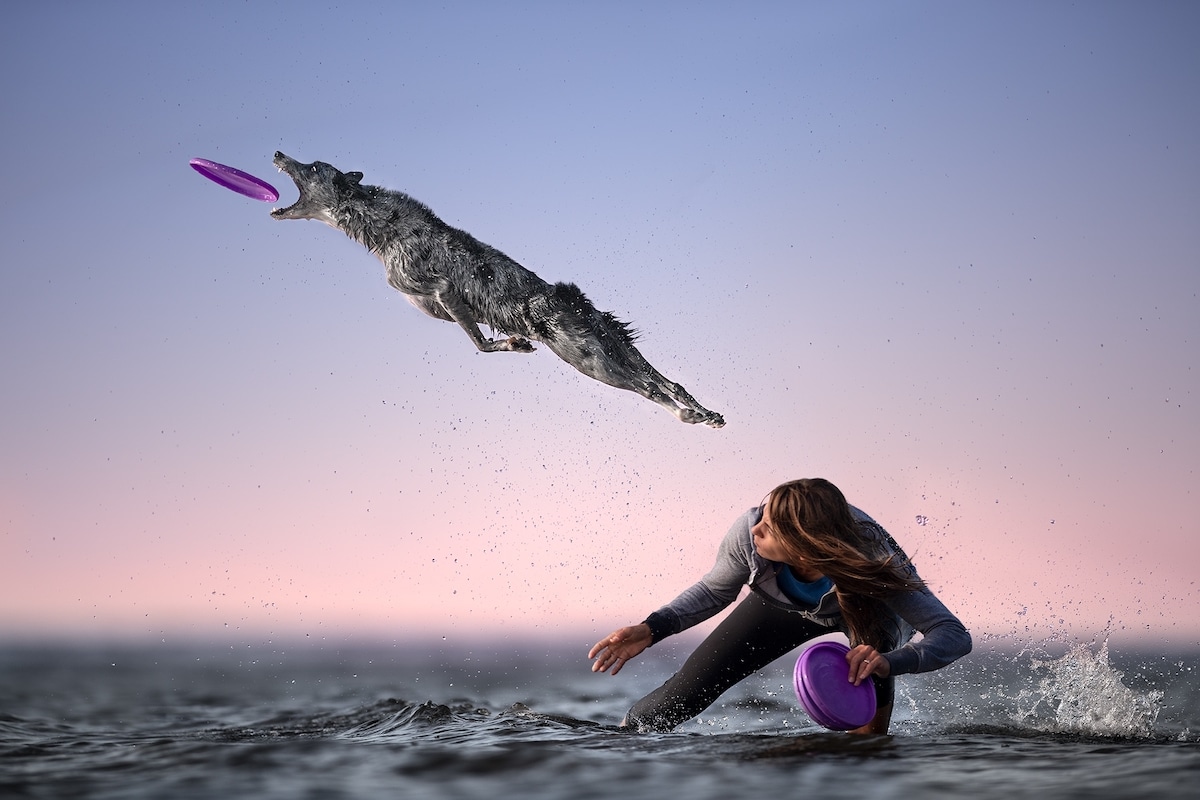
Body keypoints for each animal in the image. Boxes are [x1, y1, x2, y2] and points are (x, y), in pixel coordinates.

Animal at [270, 149, 720, 424]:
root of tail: (573, 302)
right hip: (615, 346)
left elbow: (480, 345)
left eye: (313, 167)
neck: (378, 223)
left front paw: (514, 345)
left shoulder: (443, 289)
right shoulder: (441, 307)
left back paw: (690, 415)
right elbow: (478, 339)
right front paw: (514, 344)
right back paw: (707, 413)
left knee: (650, 388)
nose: (276, 153)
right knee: (669, 381)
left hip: (591, 361)